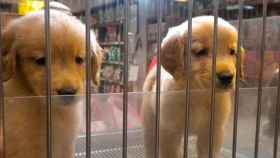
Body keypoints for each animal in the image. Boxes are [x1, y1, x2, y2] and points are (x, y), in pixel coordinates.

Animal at [142, 15, 245, 158]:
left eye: (232, 52)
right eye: (200, 52)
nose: (227, 77)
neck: (198, 94)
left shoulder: (213, 132)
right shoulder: (169, 132)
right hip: (150, 124)